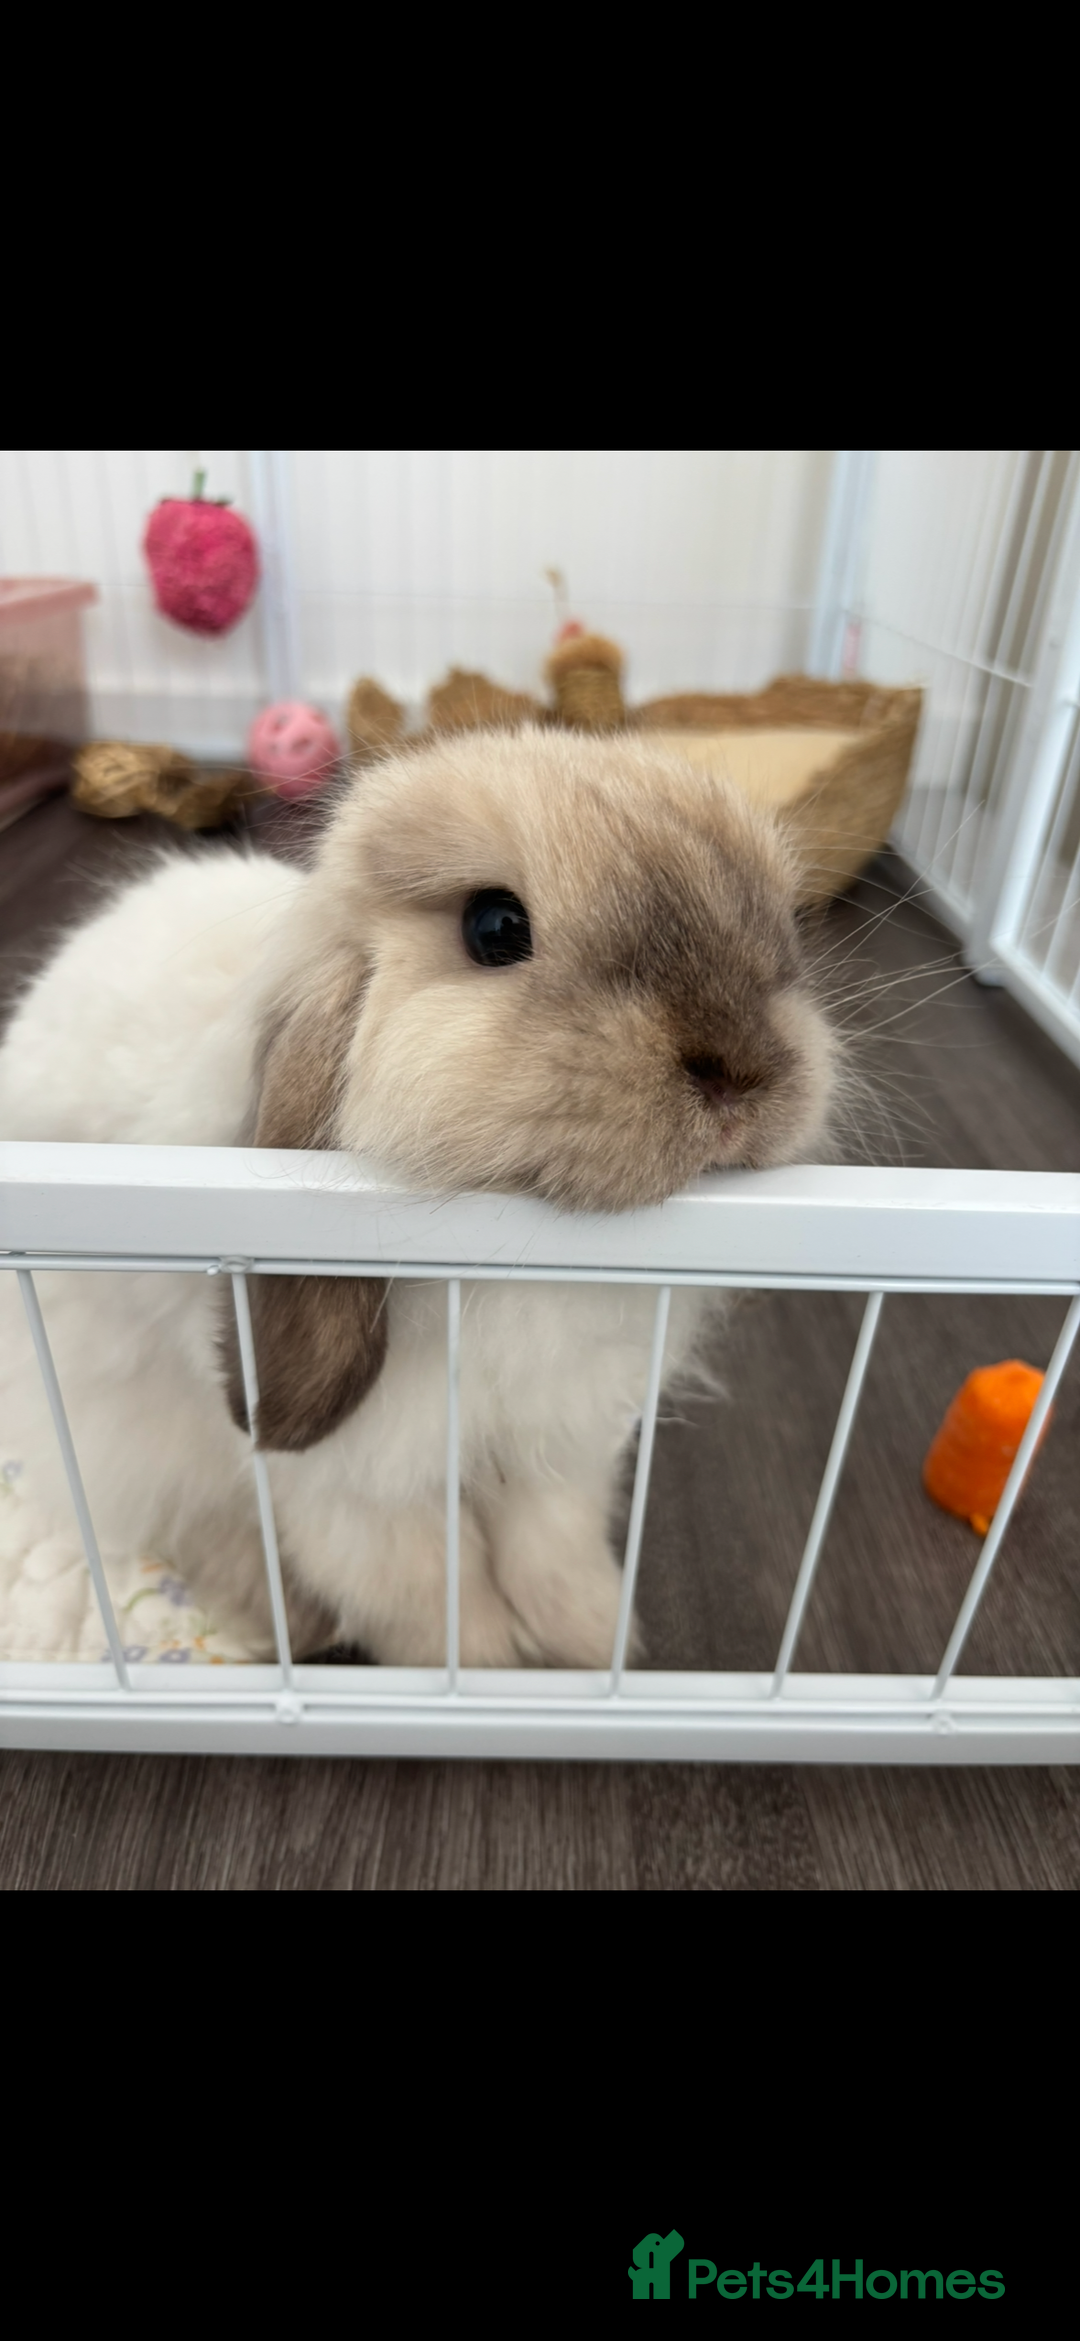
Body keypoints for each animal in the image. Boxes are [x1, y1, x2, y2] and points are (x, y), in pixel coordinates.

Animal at [0, 727, 841, 1668]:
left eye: (781, 920)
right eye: (495, 927)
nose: (741, 1070)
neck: (518, 1270)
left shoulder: (560, 1446)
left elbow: (550, 1548)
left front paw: (594, 1643)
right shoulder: (356, 1491)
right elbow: (427, 1593)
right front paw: (487, 1667)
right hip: (125, 1422)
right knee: (187, 1521)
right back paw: (291, 1617)